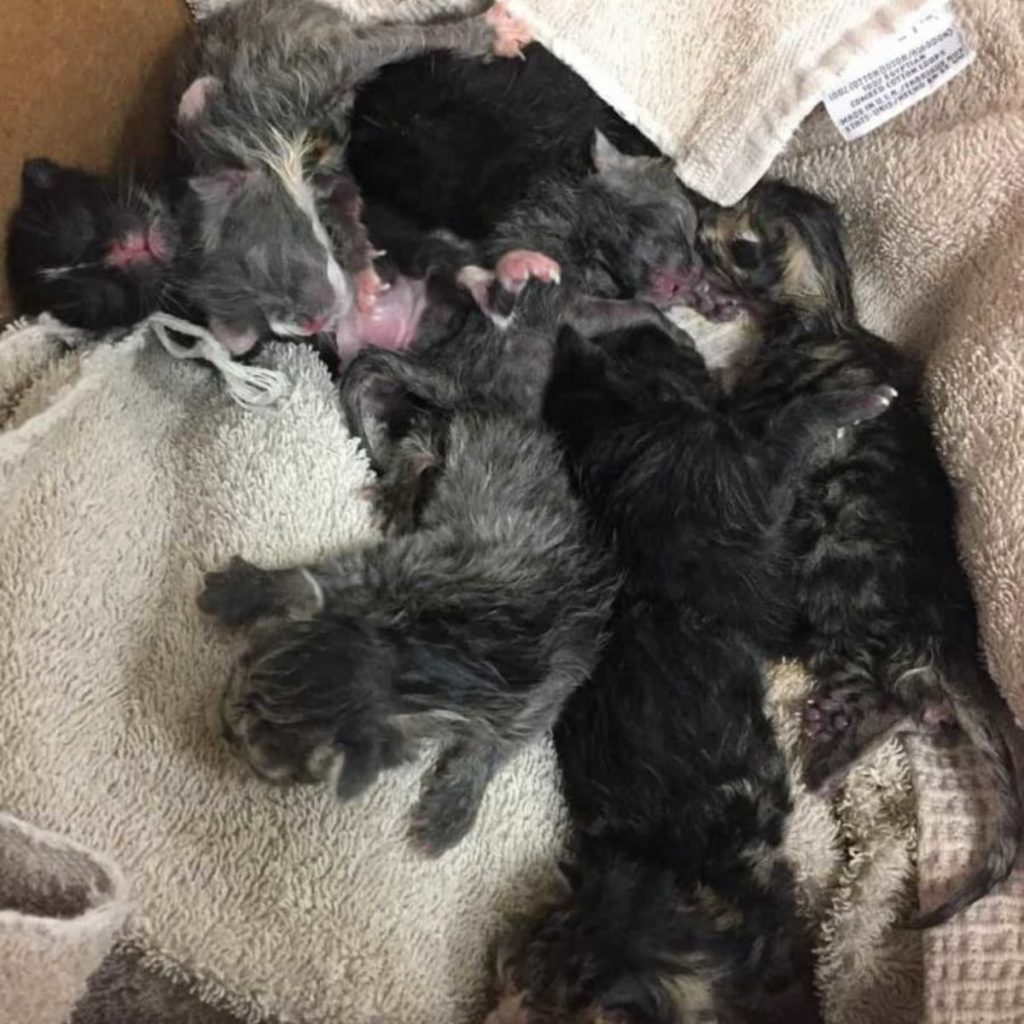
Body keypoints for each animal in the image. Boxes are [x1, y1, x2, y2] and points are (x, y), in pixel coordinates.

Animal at [174, 0, 528, 356]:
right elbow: (345, 201)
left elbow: (389, 44)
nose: (311, 325)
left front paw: (488, 31)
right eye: (254, 316)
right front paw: (362, 269)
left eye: (259, 262)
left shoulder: (300, 79)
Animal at [704, 180, 1024, 933]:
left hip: (843, 605)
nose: (701, 218)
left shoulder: (758, 409)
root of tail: (950, 641)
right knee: (917, 706)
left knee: (893, 701)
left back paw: (829, 755)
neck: (829, 316)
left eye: (734, 240)